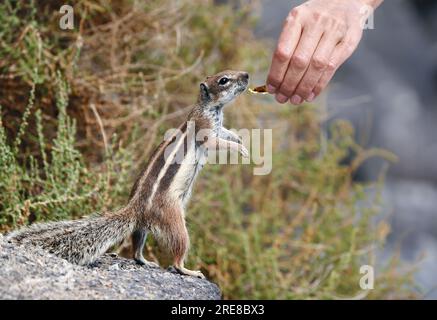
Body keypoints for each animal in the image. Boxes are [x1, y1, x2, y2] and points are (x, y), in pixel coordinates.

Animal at [7, 69, 249, 278]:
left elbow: (226, 133)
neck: (211, 108)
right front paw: (240, 149)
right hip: (174, 221)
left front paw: (240, 140)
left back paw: (145, 261)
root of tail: (135, 208)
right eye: (224, 80)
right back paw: (188, 270)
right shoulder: (205, 128)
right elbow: (216, 142)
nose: (246, 75)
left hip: (141, 228)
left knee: (136, 248)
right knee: (177, 254)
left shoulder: (218, 126)